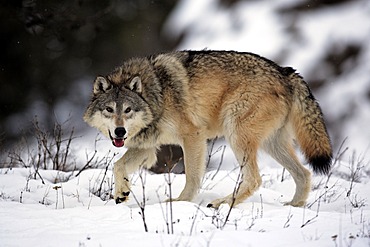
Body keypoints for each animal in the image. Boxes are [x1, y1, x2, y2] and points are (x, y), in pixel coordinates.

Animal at [84, 50, 332, 208]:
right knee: (304, 173)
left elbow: (192, 177)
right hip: (271, 144)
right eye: (109, 109)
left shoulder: (193, 136)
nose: (120, 132)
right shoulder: (148, 147)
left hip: (236, 135)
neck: (157, 93)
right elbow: (118, 166)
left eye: (127, 110)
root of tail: (285, 71)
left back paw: (222, 203)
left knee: (255, 179)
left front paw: (181, 202)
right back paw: (294, 205)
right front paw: (121, 194)